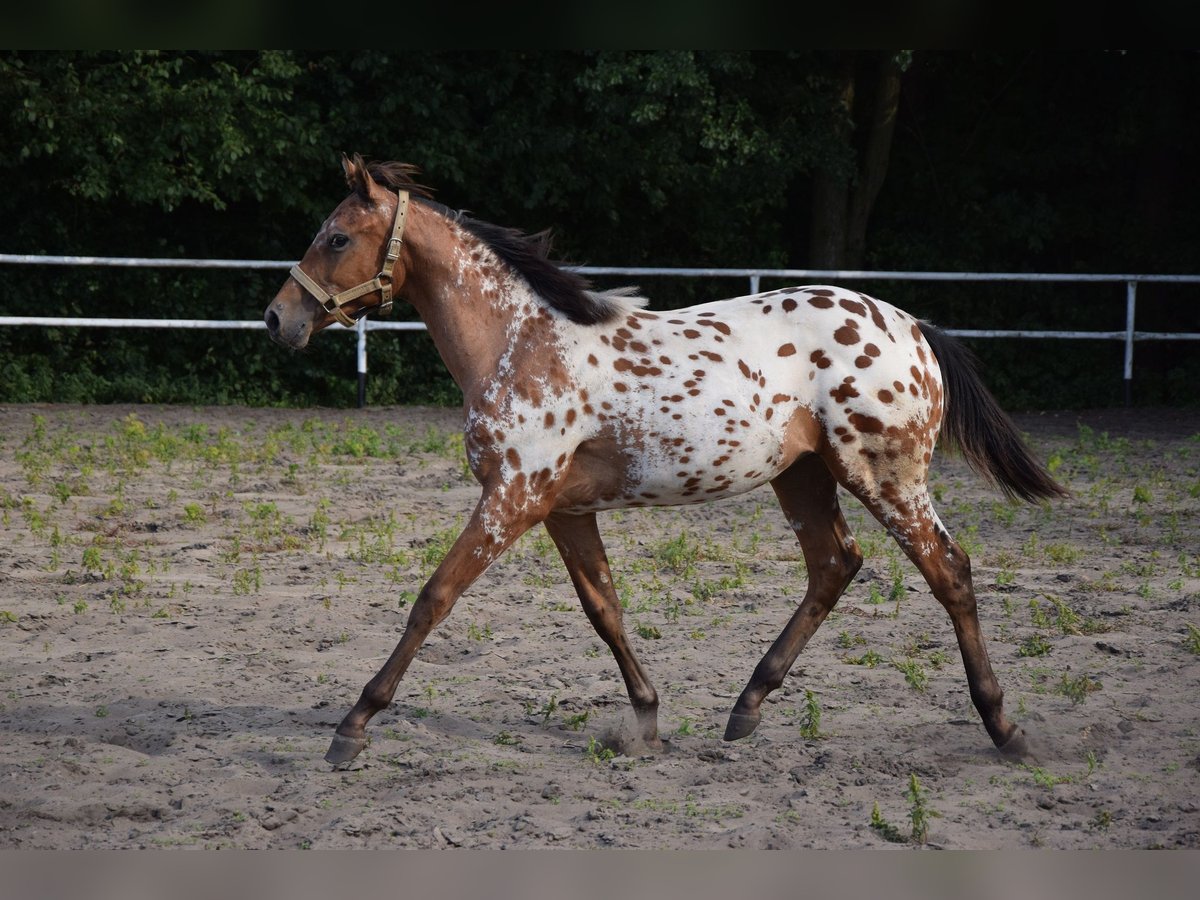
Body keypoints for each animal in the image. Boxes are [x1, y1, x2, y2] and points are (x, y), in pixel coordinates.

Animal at [264, 154, 1066, 767]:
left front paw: (352, 727)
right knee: (835, 565)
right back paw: (746, 708)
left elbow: (434, 598)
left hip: (886, 475)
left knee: (949, 570)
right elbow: (604, 608)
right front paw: (647, 719)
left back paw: (1005, 728)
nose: (278, 320)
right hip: (804, 476)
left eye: (336, 236)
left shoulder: (511, 497)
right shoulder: (561, 508)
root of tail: (917, 329)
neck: (517, 343)